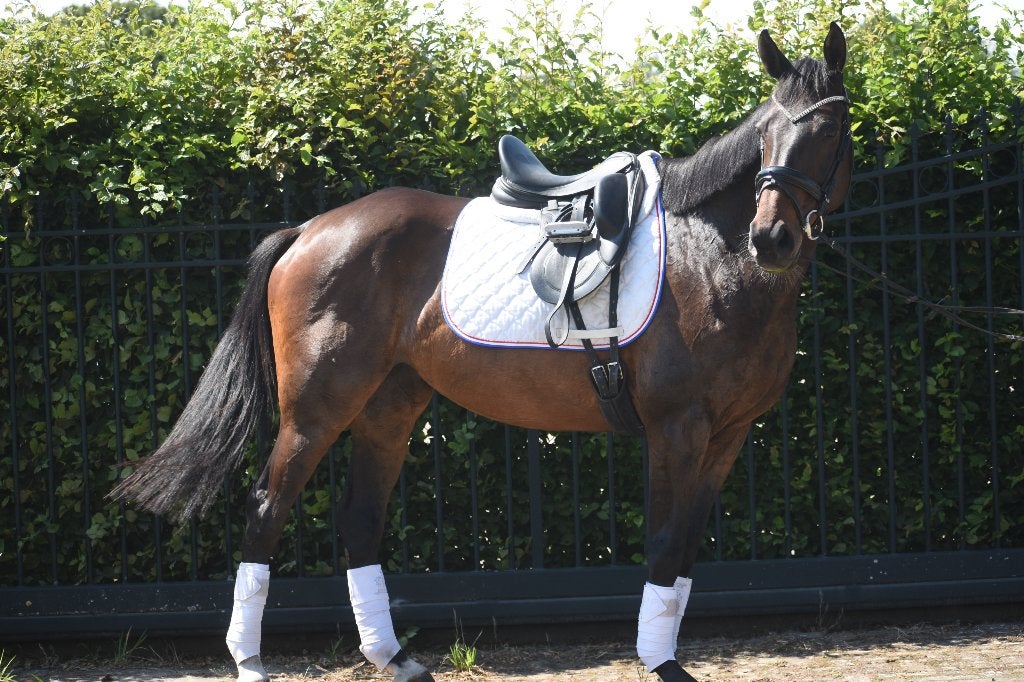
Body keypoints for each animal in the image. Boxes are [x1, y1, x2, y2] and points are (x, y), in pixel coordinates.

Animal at [113, 23, 852, 682]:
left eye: (829, 131)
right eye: (767, 132)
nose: (772, 239)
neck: (712, 261)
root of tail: (309, 231)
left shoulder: (728, 434)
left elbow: (688, 546)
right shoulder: (676, 428)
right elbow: (666, 543)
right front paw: (662, 663)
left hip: (389, 408)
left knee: (360, 519)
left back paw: (396, 659)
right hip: (316, 410)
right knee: (268, 507)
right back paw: (250, 661)